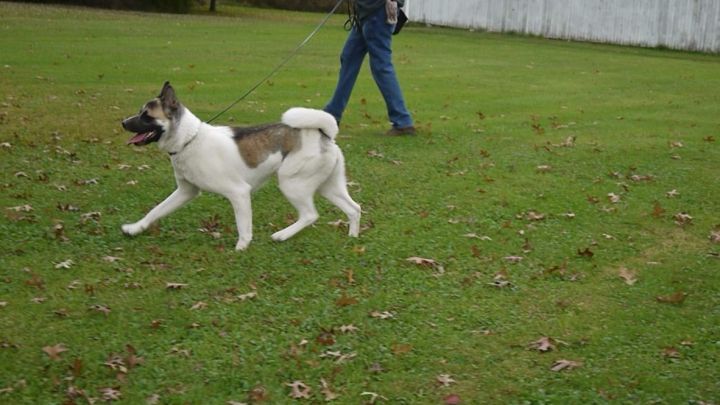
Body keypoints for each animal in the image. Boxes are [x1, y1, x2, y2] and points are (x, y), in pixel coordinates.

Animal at [121, 80, 366, 248]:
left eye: (146, 115)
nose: (123, 122)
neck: (189, 139)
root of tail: (325, 134)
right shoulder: (185, 192)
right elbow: (156, 211)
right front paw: (134, 228)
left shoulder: (238, 192)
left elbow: (243, 226)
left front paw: (241, 247)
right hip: (328, 186)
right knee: (353, 208)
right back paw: (352, 236)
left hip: (291, 183)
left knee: (310, 215)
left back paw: (282, 235)